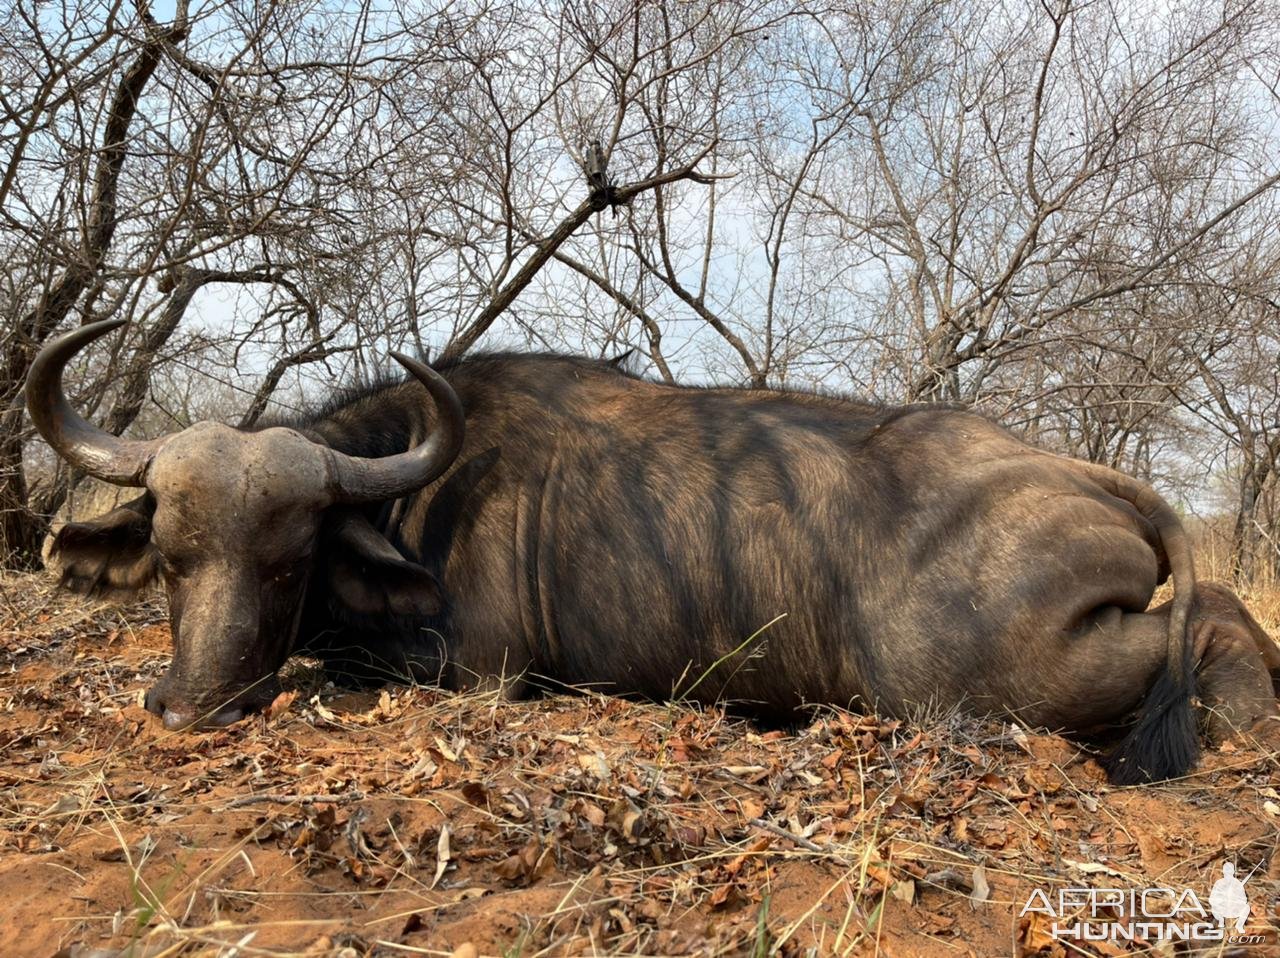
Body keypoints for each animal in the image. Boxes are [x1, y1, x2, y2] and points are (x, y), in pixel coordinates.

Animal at [24, 317, 1274, 783]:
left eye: (287, 556)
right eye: (172, 555)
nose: (187, 707)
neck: (419, 487)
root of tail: (1074, 474)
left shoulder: (477, 672)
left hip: (987, 686)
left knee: (1209, 624)